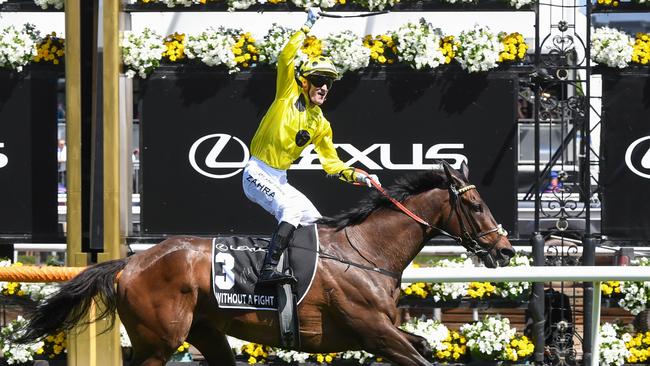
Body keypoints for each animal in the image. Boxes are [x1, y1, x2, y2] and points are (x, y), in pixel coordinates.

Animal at [13, 162, 512, 366]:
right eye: (478, 205)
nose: (505, 250)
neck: (367, 253)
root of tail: (130, 264)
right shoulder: (374, 332)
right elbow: (419, 357)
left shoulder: (382, 332)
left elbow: (424, 346)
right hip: (157, 342)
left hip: (207, 334)